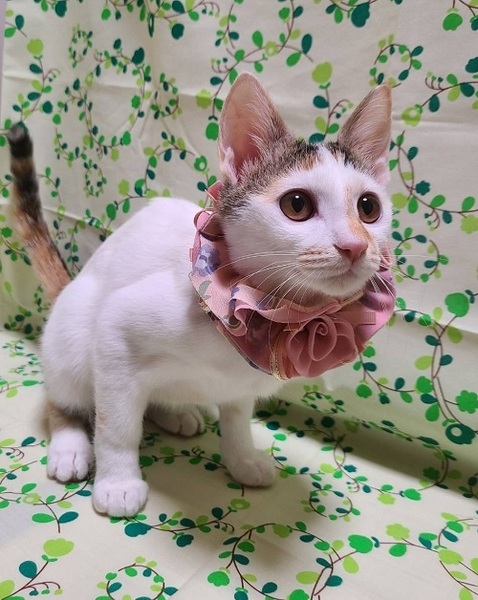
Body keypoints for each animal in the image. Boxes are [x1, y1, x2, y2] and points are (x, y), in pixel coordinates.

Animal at [7, 73, 394, 518]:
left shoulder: (244, 381)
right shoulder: (116, 334)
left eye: (369, 207)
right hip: (73, 334)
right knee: (64, 396)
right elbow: (116, 426)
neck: (267, 311)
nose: (355, 246)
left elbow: (237, 419)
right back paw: (70, 445)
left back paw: (176, 414)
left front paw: (242, 458)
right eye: (297, 204)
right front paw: (118, 482)